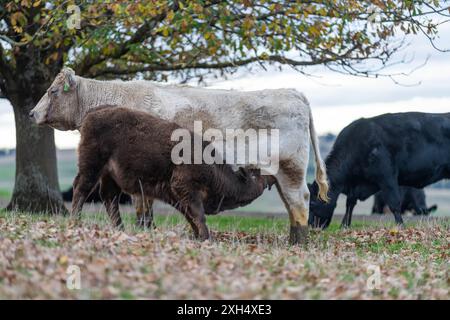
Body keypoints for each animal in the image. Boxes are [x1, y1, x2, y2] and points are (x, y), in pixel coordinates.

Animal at [72, 107, 274, 240]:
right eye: (255, 175)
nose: (269, 179)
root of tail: (90, 116)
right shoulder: (186, 188)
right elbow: (198, 214)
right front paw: (206, 237)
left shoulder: (176, 195)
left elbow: (190, 216)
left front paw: (198, 236)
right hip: (92, 167)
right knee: (81, 189)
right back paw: (76, 220)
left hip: (109, 176)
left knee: (109, 197)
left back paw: (120, 228)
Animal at [310, 112, 450, 228]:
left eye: (312, 203)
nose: (311, 226)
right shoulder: (356, 186)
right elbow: (350, 204)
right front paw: (344, 226)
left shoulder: (387, 177)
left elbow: (394, 203)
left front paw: (400, 227)